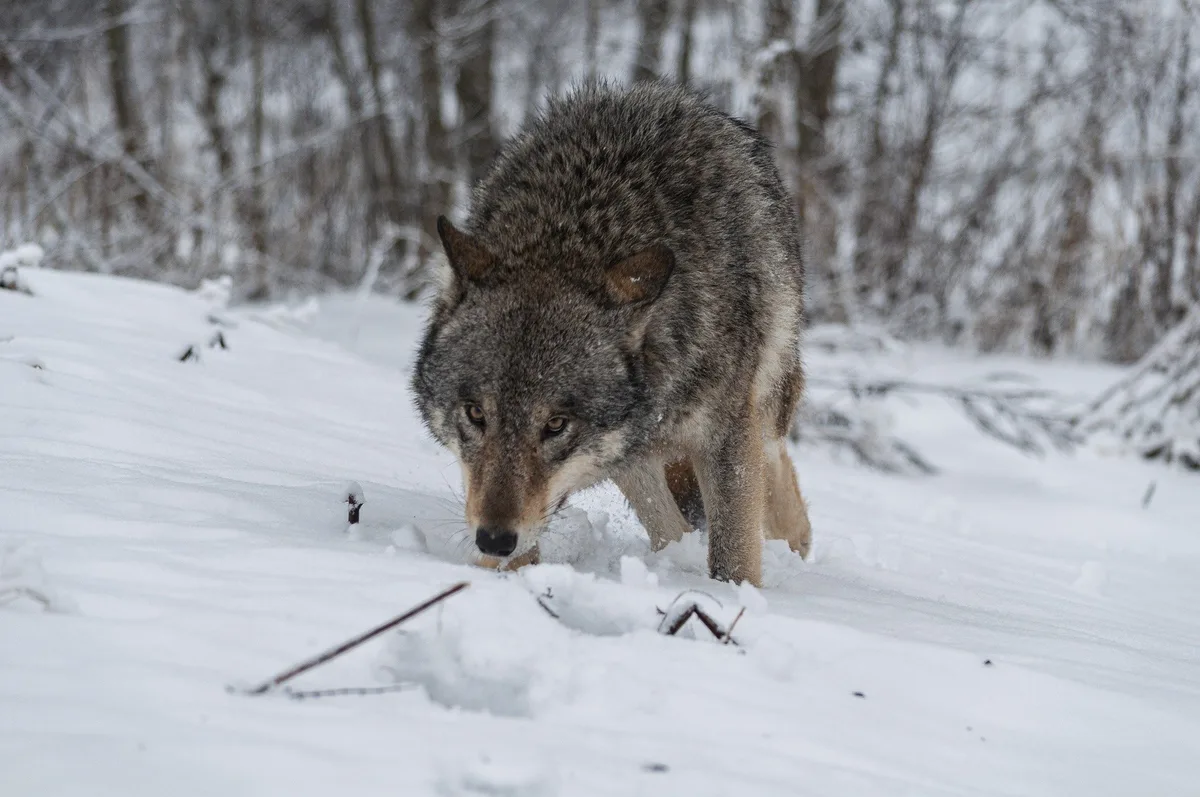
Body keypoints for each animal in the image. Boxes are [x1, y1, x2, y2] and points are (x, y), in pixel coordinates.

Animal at [411, 80, 811, 586]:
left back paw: (794, 546)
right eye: (475, 413)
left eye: (556, 424)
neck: (573, 231)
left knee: (776, 472)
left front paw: (734, 600)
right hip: (631, 461)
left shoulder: (727, 435)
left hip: (762, 401)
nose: (494, 539)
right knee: (673, 528)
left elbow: (734, 557)